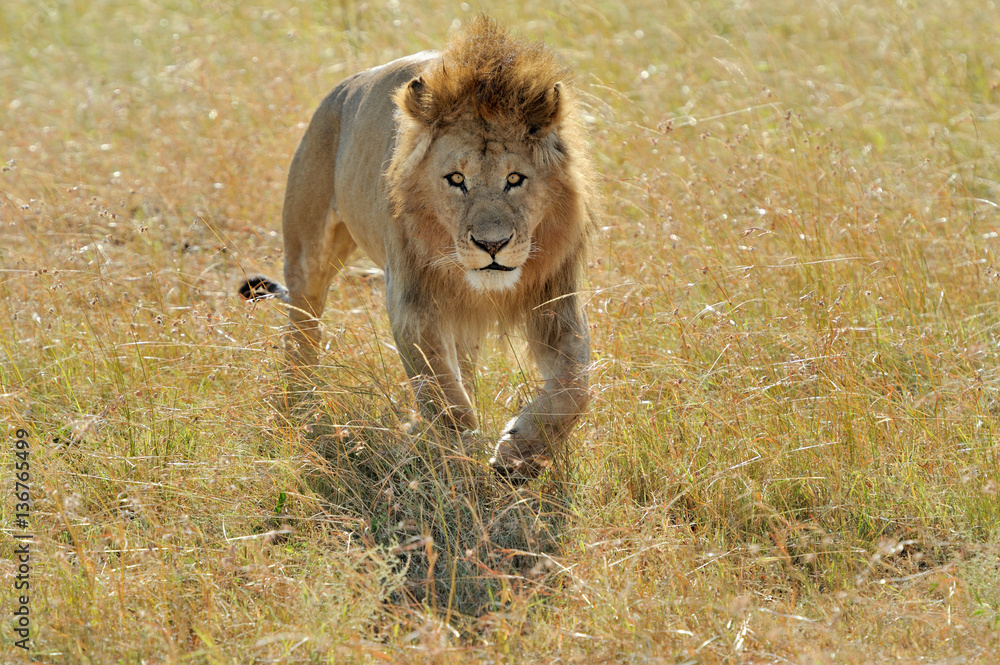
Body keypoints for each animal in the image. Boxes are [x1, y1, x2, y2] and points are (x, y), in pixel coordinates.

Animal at [240, 17, 598, 481]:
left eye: (515, 179)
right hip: (308, 251)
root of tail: (338, 92)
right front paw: (461, 455)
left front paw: (520, 454)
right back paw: (300, 402)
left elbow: (575, 385)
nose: (492, 245)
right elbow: (441, 392)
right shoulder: (413, 300)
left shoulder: (555, 298)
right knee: (302, 326)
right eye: (456, 179)